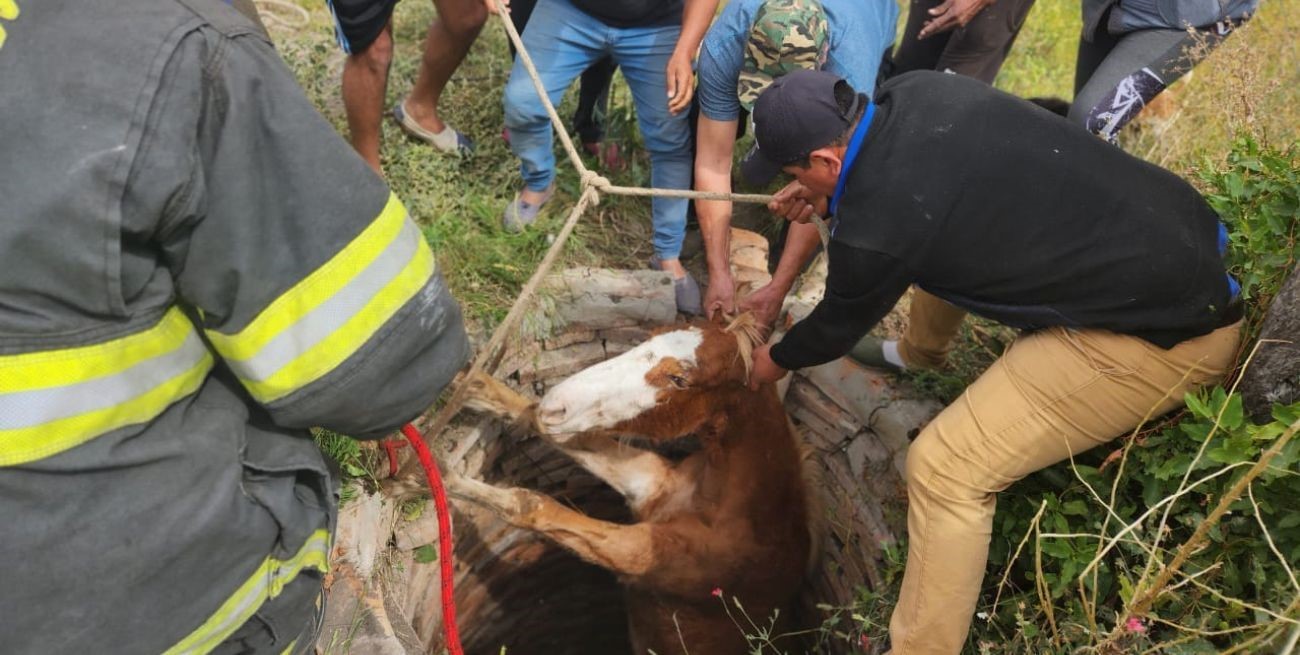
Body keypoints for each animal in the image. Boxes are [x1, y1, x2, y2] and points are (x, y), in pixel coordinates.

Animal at [446, 314, 820, 655]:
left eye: (679, 379)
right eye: (651, 334)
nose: (557, 406)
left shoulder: (644, 554)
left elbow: (536, 506)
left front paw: (443, 479)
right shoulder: (648, 481)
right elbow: (537, 417)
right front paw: (470, 383)